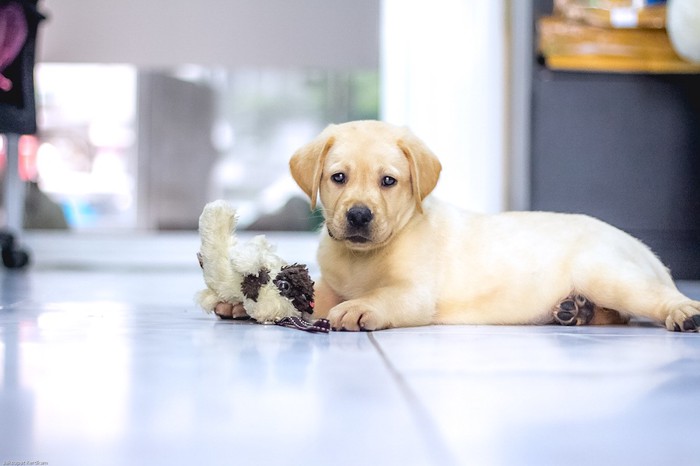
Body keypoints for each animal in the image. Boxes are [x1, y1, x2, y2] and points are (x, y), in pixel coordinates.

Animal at [288, 120, 700, 332]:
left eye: (388, 181)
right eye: (338, 178)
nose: (358, 215)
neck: (361, 257)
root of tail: (643, 247)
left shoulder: (414, 292)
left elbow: (381, 296)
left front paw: (358, 308)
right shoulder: (330, 284)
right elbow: (316, 294)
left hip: (607, 274)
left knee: (657, 299)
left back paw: (684, 313)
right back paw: (576, 310)